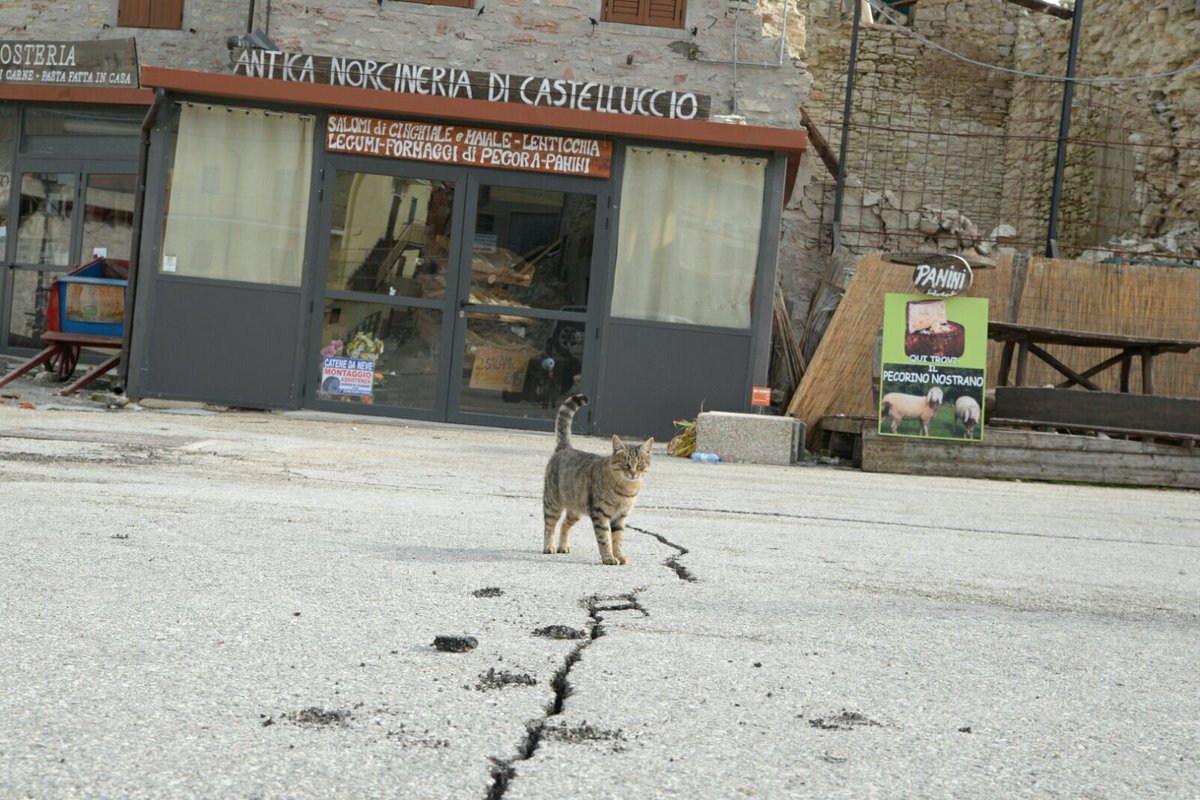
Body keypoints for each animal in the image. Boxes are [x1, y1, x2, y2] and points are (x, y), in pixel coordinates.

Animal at [547, 393, 657, 566]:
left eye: (639, 464)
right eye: (625, 463)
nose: (633, 473)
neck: (627, 489)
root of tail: (566, 448)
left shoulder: (621, 517)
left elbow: (618, 539)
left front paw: (619, 555)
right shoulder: (600, 513)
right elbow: (604, 538)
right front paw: (609, 558)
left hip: (575, 510)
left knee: (564, 524)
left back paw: (563, 546)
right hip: (552, 504)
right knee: (549, 525)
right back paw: (549, 546)